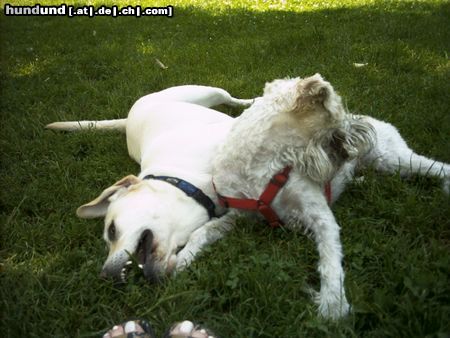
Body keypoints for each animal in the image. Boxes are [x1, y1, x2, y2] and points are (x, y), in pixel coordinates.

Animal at [47, 85, 251, 282]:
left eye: (111, 230)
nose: (106, 276)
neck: (184, 180)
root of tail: (128, 119)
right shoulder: (237, 212)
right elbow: (205, 231)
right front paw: (184, 259)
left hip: (207, 92)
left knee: (233, 100)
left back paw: (251, 101)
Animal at [209, 74, 450, 320]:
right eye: (339, 114)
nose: (362, 135)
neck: (261, 166)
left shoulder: (319, 216)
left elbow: (330, 259)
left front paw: (332, 304)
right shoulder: (239, 214)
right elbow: (205, 231)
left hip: (394, 160)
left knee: (439, 167)